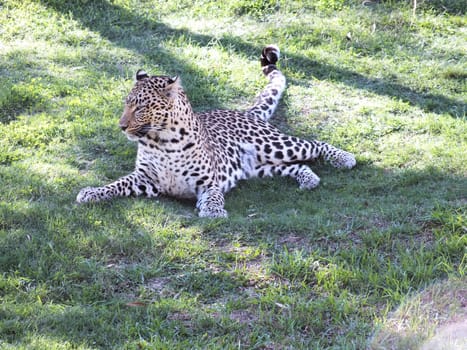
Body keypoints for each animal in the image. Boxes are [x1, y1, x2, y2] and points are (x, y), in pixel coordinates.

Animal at [77, 45, 356, 217]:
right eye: (126, 104)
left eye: (141, 107)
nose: (122, 126)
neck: (161, 140)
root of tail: (246, 112)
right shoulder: (145, 179)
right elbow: (117, 183)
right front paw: (91, 192)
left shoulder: (208, 182)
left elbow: (213, 196)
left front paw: (213, 211)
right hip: (260, 168)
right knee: (297, 166)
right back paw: (309, 180)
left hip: (274, 145)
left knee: (314, 144)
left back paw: (344, 158)